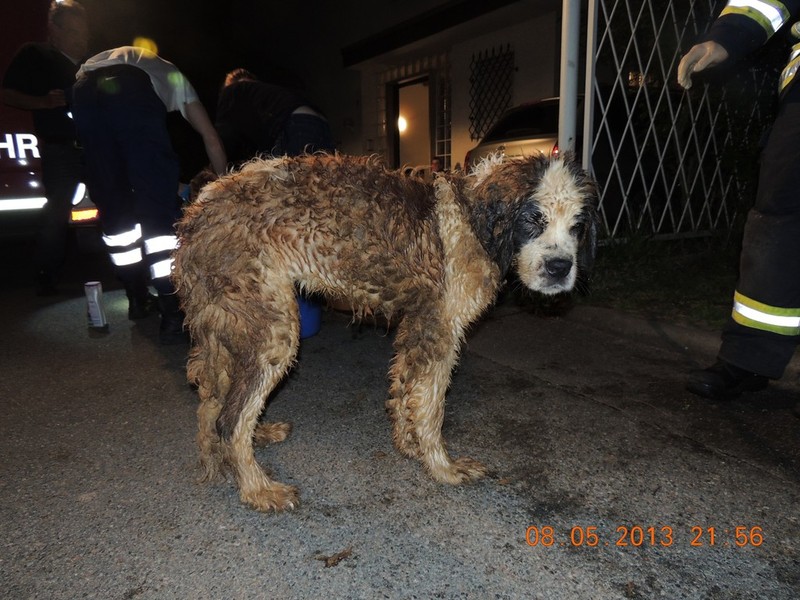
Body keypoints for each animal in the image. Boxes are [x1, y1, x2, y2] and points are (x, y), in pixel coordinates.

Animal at [175, 154, 600, 510]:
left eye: (577, 227)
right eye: (533, 219)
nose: (560, 268)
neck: (472, 220)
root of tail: (199, 208)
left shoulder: (417, 325)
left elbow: (405, 392)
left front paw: (410, 446)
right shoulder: (439, 329)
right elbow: (431, 407)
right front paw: (443, 468)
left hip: (228, 328)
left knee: (212, 404)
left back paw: (246, 442)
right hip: (272, 331)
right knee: (230, 418)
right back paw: (257, 489)